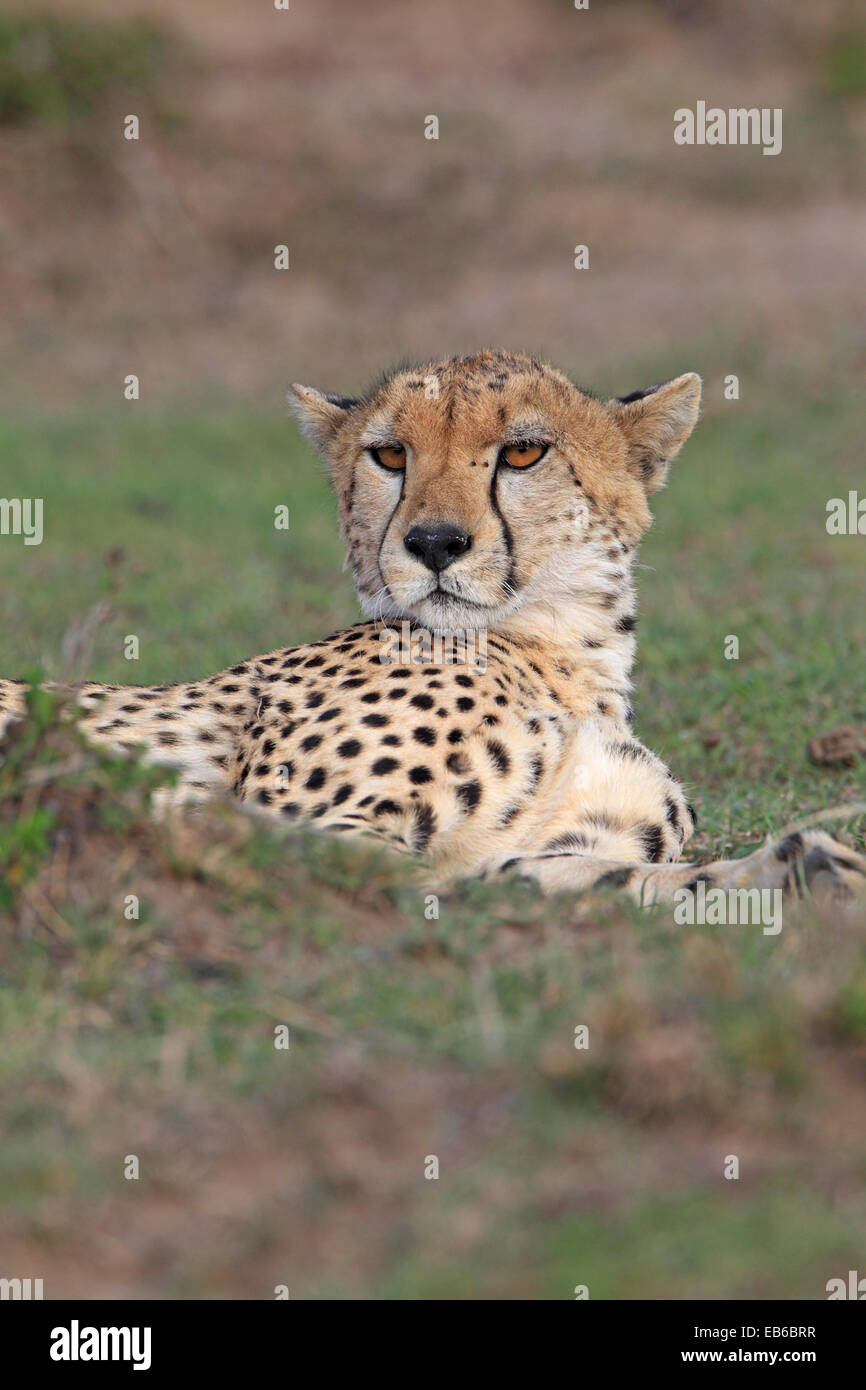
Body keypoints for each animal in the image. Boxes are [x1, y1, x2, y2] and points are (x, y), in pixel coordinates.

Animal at [1, 353, 866, 906]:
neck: (564, 655)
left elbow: (569, 875)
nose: (435, 542)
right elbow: (452, 881)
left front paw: (801, 868)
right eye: (390, 455)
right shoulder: (298, 831)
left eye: (523, 452)